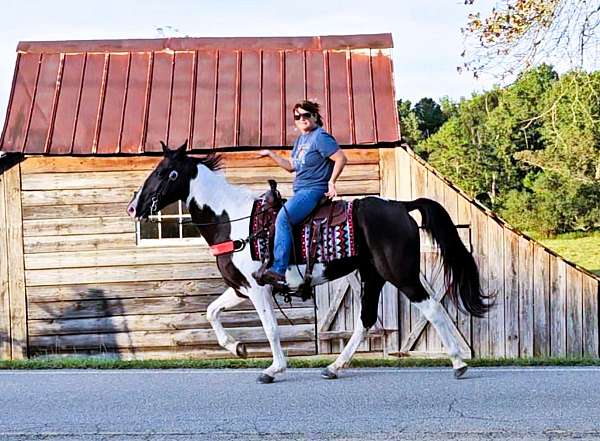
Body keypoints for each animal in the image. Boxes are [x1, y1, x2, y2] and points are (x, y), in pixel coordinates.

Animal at [127, 141, 492, 382]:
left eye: (166, 172)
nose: (133, 207)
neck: (231, 218)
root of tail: (400, 206)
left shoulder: (258, 288)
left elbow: (271, 328)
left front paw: (274, 368)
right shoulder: (241, 288)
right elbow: (211, 312)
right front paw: (237, 347)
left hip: (400, 273)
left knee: (431, 307)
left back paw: (459, 363)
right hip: (372, 275)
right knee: (366, 320)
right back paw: (334, 366)